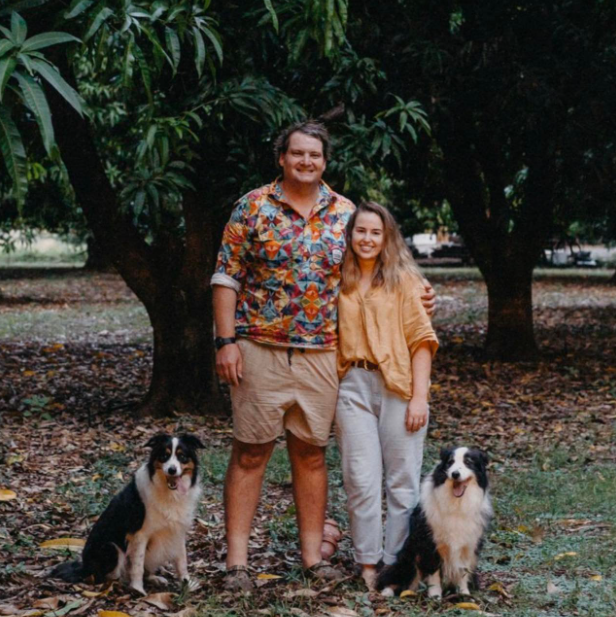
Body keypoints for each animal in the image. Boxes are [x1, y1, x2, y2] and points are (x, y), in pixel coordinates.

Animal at [51, 430, 203, 596]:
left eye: (182, 456)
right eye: (164, 456)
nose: (172, 470)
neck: (170, 493)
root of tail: (84, 568)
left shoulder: (177, 531)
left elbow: (182, 561)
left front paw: (186, 584)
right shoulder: (139, 534)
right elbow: (137, 565)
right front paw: (138, 589)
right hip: (110, 548)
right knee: (110, 576)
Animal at [376, 448, 490, 596]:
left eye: (468, 462)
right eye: (450, 462)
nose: (455, 474)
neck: (456, 504)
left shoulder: (468, 544)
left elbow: (462, 570)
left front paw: (464, 593)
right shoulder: (430, 542)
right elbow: (433, 569)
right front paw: (435, 594)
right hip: (408, 554)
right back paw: (388, 591)